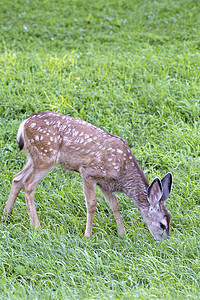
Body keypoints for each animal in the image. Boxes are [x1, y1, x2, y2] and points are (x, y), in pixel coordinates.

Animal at [2, 111, 173, 240]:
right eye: (162, 224)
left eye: (170, 219)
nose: (164, 241)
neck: (123, 173)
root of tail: (23, 124)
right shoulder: (88, 173)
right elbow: (91, 204)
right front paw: (88, 235)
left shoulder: (106, 184)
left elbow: (115, 205)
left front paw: (122, 233)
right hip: (46, 156)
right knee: (28, 184)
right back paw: (36, 226)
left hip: (34, 157)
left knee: (17, 178)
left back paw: (5, 215)